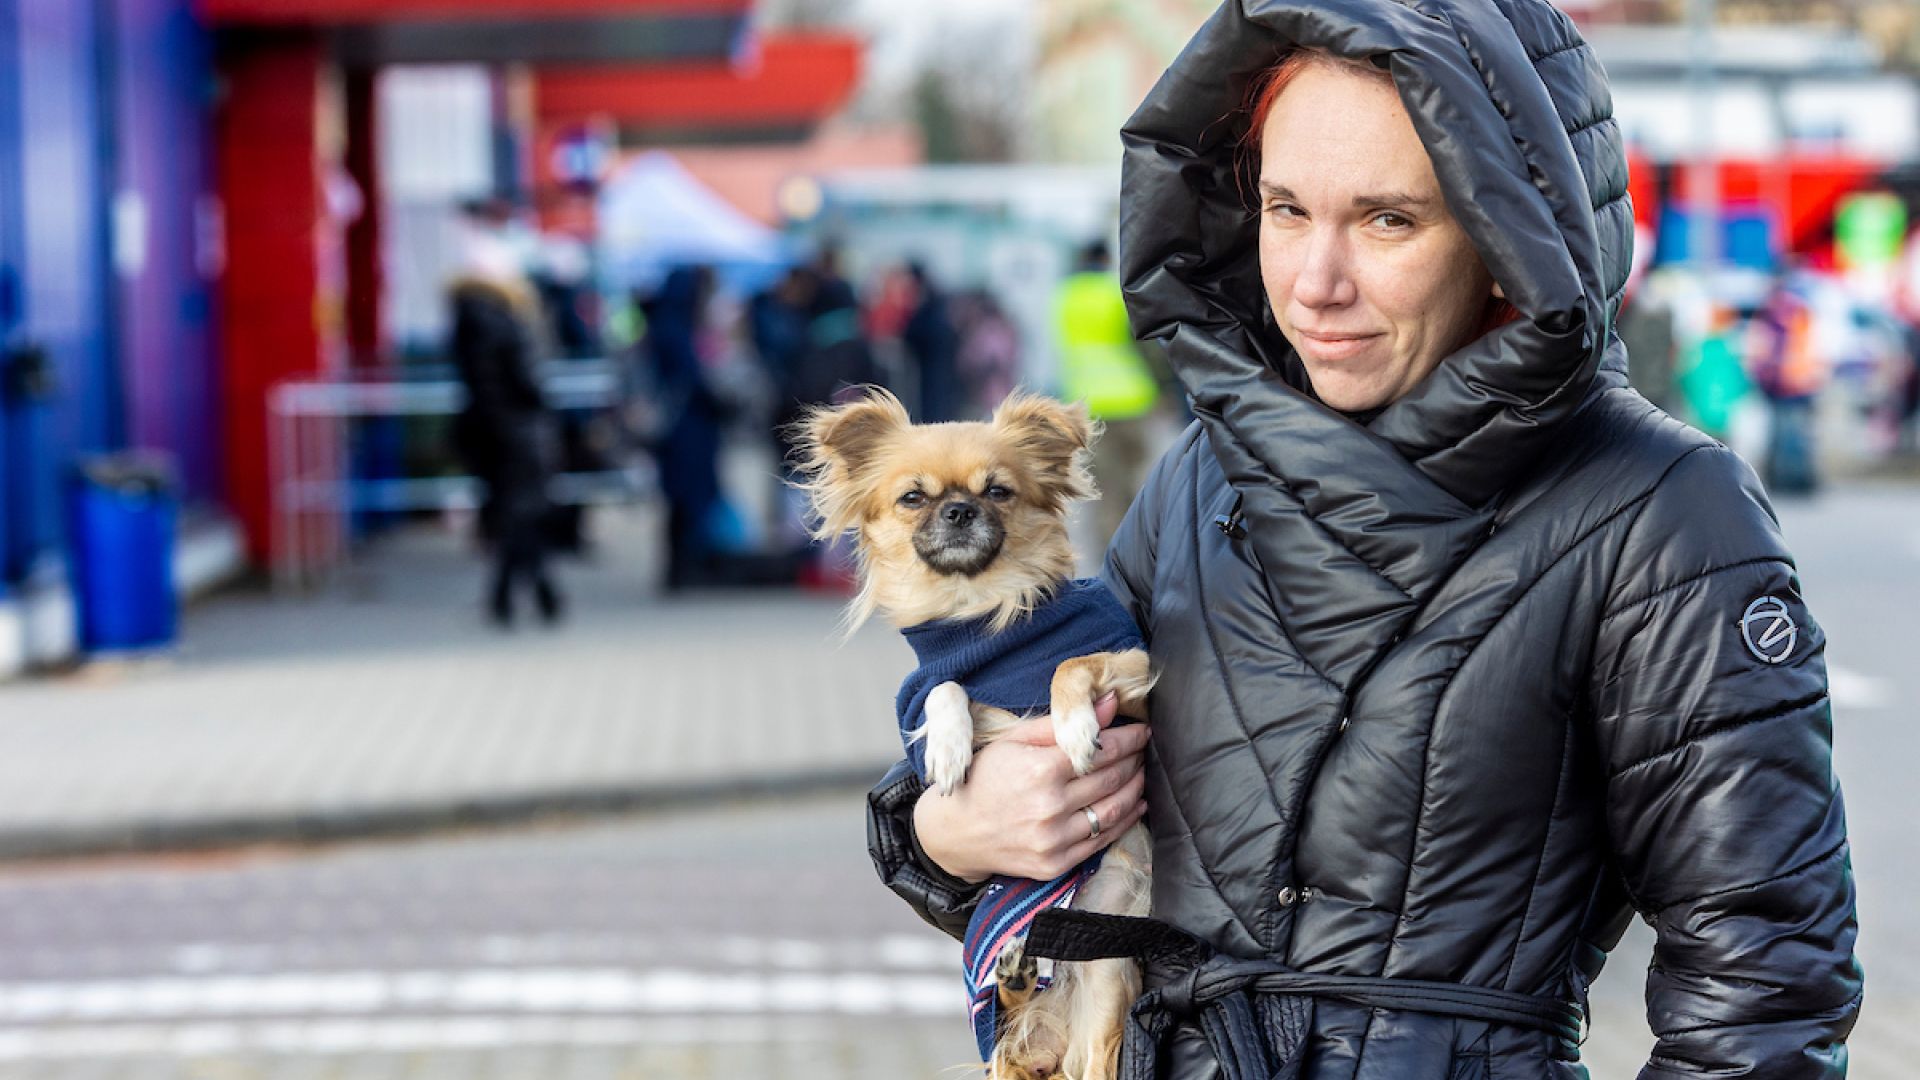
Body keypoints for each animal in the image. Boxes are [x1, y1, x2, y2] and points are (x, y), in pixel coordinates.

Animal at [787, 386, 1144, 1076]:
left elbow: (1066, 665)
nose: (957, 510)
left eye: (998, 491)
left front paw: (1074, 729)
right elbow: (944, 690)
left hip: (1108, 979)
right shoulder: (931, 693)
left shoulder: (1135, 669)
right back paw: (1014, 967)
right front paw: (949, 750)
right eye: (913, 498)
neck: (983, 614)